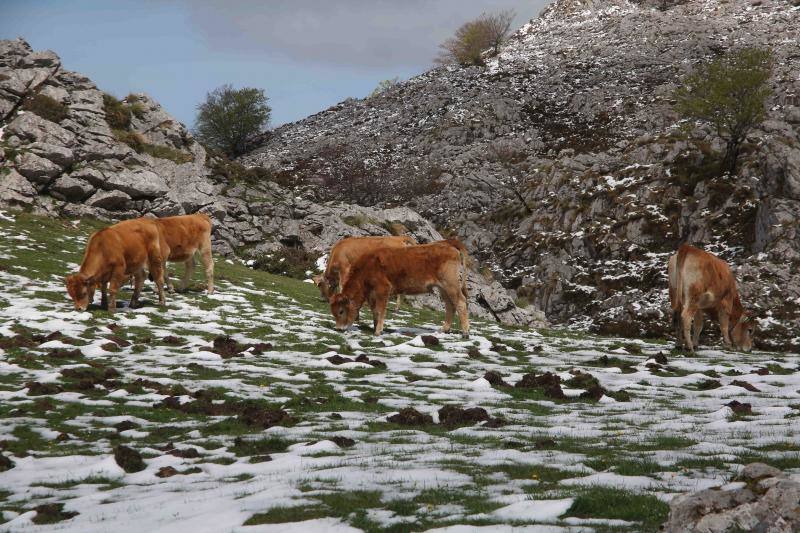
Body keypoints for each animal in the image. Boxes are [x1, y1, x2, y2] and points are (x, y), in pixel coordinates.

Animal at [330, 240, 468, 338]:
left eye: (341, 311)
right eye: (333, 312)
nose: (338, 329)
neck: (368, 266)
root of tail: (448, 244)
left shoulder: (383, 289)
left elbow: (380, 310)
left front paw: (378, 331)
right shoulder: (371, 294)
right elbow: (374, 310)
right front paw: (375, 326)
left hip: (451, 284)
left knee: (460, 302)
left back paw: (465, 332)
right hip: (443, 288)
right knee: (450, 305)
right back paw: (445, 329)